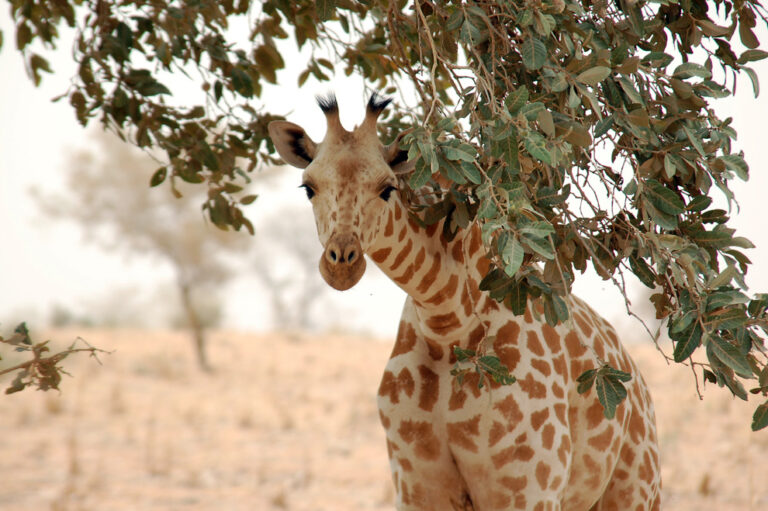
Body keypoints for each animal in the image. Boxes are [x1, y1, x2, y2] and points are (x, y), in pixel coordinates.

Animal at [268, 94, 661, 511]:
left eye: (388, 188)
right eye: (308, 187)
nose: (341, 264)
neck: (447, 322)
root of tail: (638, 383)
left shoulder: (531, 488)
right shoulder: (416, 484)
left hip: (636, 490)